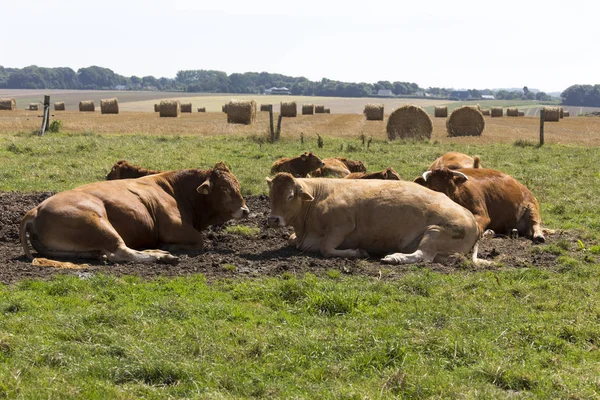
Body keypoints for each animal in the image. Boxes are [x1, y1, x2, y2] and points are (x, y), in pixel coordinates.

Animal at [19, 161, 247, 268]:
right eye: (224, 188)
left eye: (238, 185)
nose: (245, 210)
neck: (175, 189)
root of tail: (35, 210)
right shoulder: (176, 229)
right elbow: (199, 241)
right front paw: (169, 247)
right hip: (99, 224)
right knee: (120, 252)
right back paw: (163, 256)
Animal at [264, 173, 480, 264]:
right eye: (271, 195)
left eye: (290, 196)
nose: (273, 219)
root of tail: (473, 221)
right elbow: (293, 240)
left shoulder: (342, 224)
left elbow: (326, 248)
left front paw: (358, 252)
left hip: (436, 231)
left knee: (423, 255)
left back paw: (394, 258)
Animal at [414, 167, 548, 242]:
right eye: (434, 188)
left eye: (453, 189)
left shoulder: (481, 214)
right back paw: (509, 231)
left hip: (531, 208)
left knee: (535, 224)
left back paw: (538, 236)